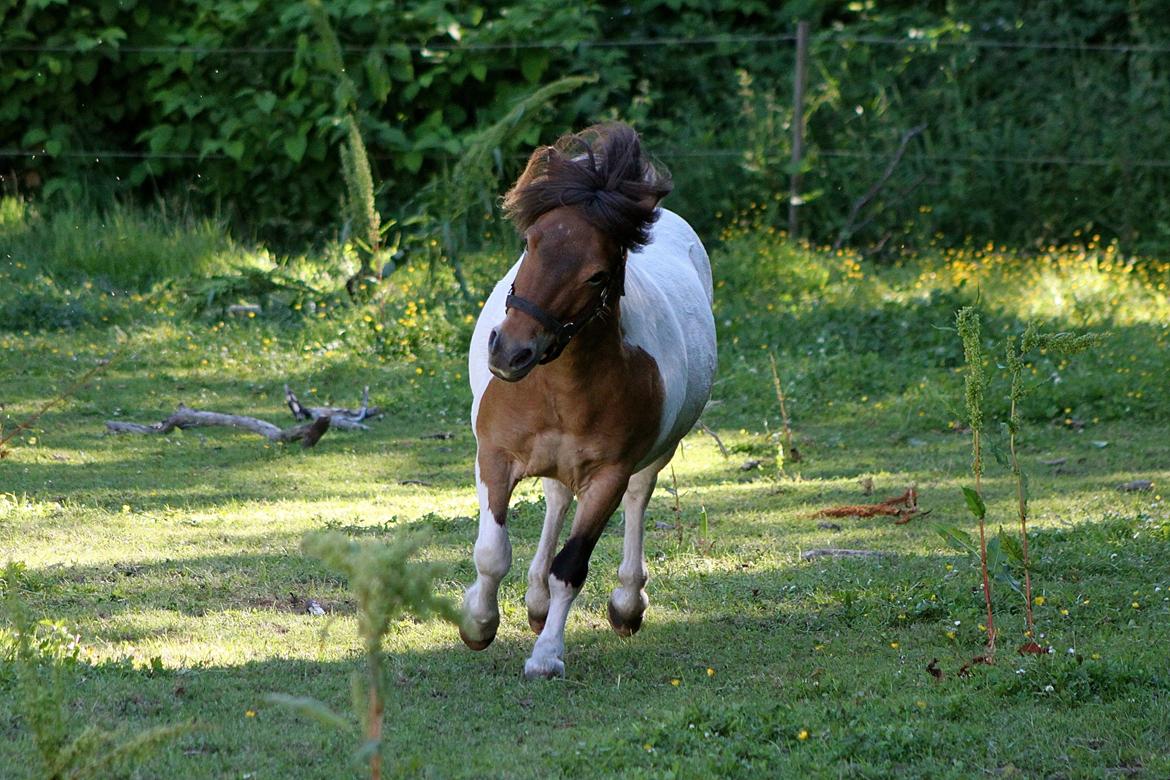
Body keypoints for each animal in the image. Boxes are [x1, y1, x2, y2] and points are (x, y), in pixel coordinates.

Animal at [456, 122, 711, 678]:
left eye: (596, 274)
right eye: (529, 244)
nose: (510, 352)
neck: (559, 389)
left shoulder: (607, 476)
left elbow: (570, 567)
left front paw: (547, 655)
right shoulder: (495, 456)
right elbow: (492, 552)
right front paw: (478, 623)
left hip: (656, 453)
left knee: (637, 497)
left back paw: (625, 604)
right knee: (555, 497)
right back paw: (533, 602)